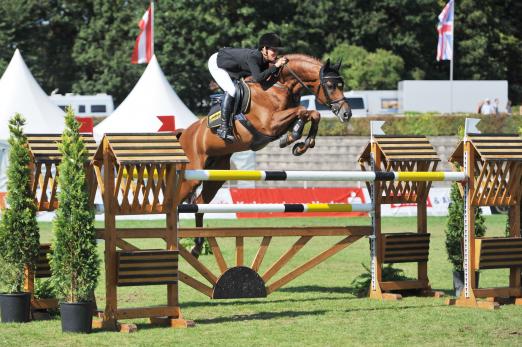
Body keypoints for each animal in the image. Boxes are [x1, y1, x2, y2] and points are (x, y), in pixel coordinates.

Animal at [177, 53, 352, 256]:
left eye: (342, 85)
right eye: (330, 86)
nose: (346, 114)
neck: (278, 87)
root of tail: (184, 134)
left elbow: (313, 114)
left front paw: (298, 143)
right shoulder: (269, 124)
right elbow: (303, 111)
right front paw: (294, 138)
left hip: (215, 177)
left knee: (199, 204)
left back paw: (196, 246)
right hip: (190, 178)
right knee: (177, 204)